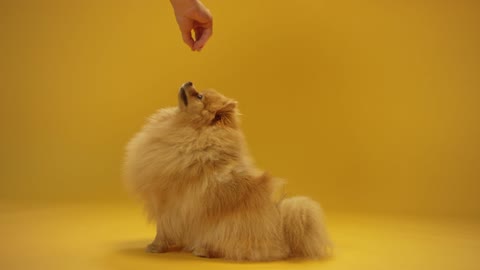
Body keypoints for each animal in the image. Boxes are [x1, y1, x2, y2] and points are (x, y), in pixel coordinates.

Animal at [124, 83, 332, 262]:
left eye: (199, 96)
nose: (189, 82)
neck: (187, 128)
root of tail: (279, 228)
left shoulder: (167, 201)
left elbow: (163, 228)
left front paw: (156, 247)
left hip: (228, 227)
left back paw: (203, 250)